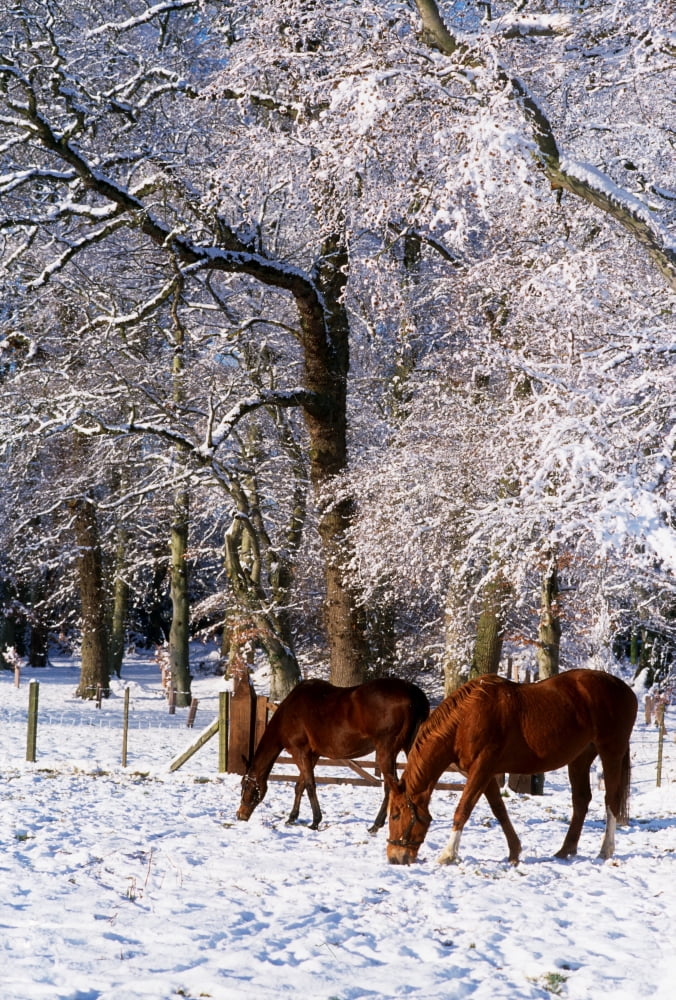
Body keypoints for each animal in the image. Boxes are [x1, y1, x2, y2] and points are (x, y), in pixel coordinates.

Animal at [236, 677, 430, 832]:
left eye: (245, 785)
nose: (240, 815)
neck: (288, 714)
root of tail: (415, 695)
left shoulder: (299, 752)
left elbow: (310, 785)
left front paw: (315, 821)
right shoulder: (312, 755)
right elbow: (300, 785)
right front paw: (292, 817)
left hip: (386, 752)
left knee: (391, 787)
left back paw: (376, 825)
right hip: (410, 748)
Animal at [386, 669, 637, 866]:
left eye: (395, 815)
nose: (394, 857)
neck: (465, 720)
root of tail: (625, 689)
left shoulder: (482, 769)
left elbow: (463, 809)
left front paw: (448, 854)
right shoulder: (484, 773)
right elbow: (500, 810)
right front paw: (514, 851)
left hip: (611, 752)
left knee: (611, 799)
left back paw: (605, 850)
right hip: (579, 758)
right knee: (581, 800)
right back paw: (565, 850)